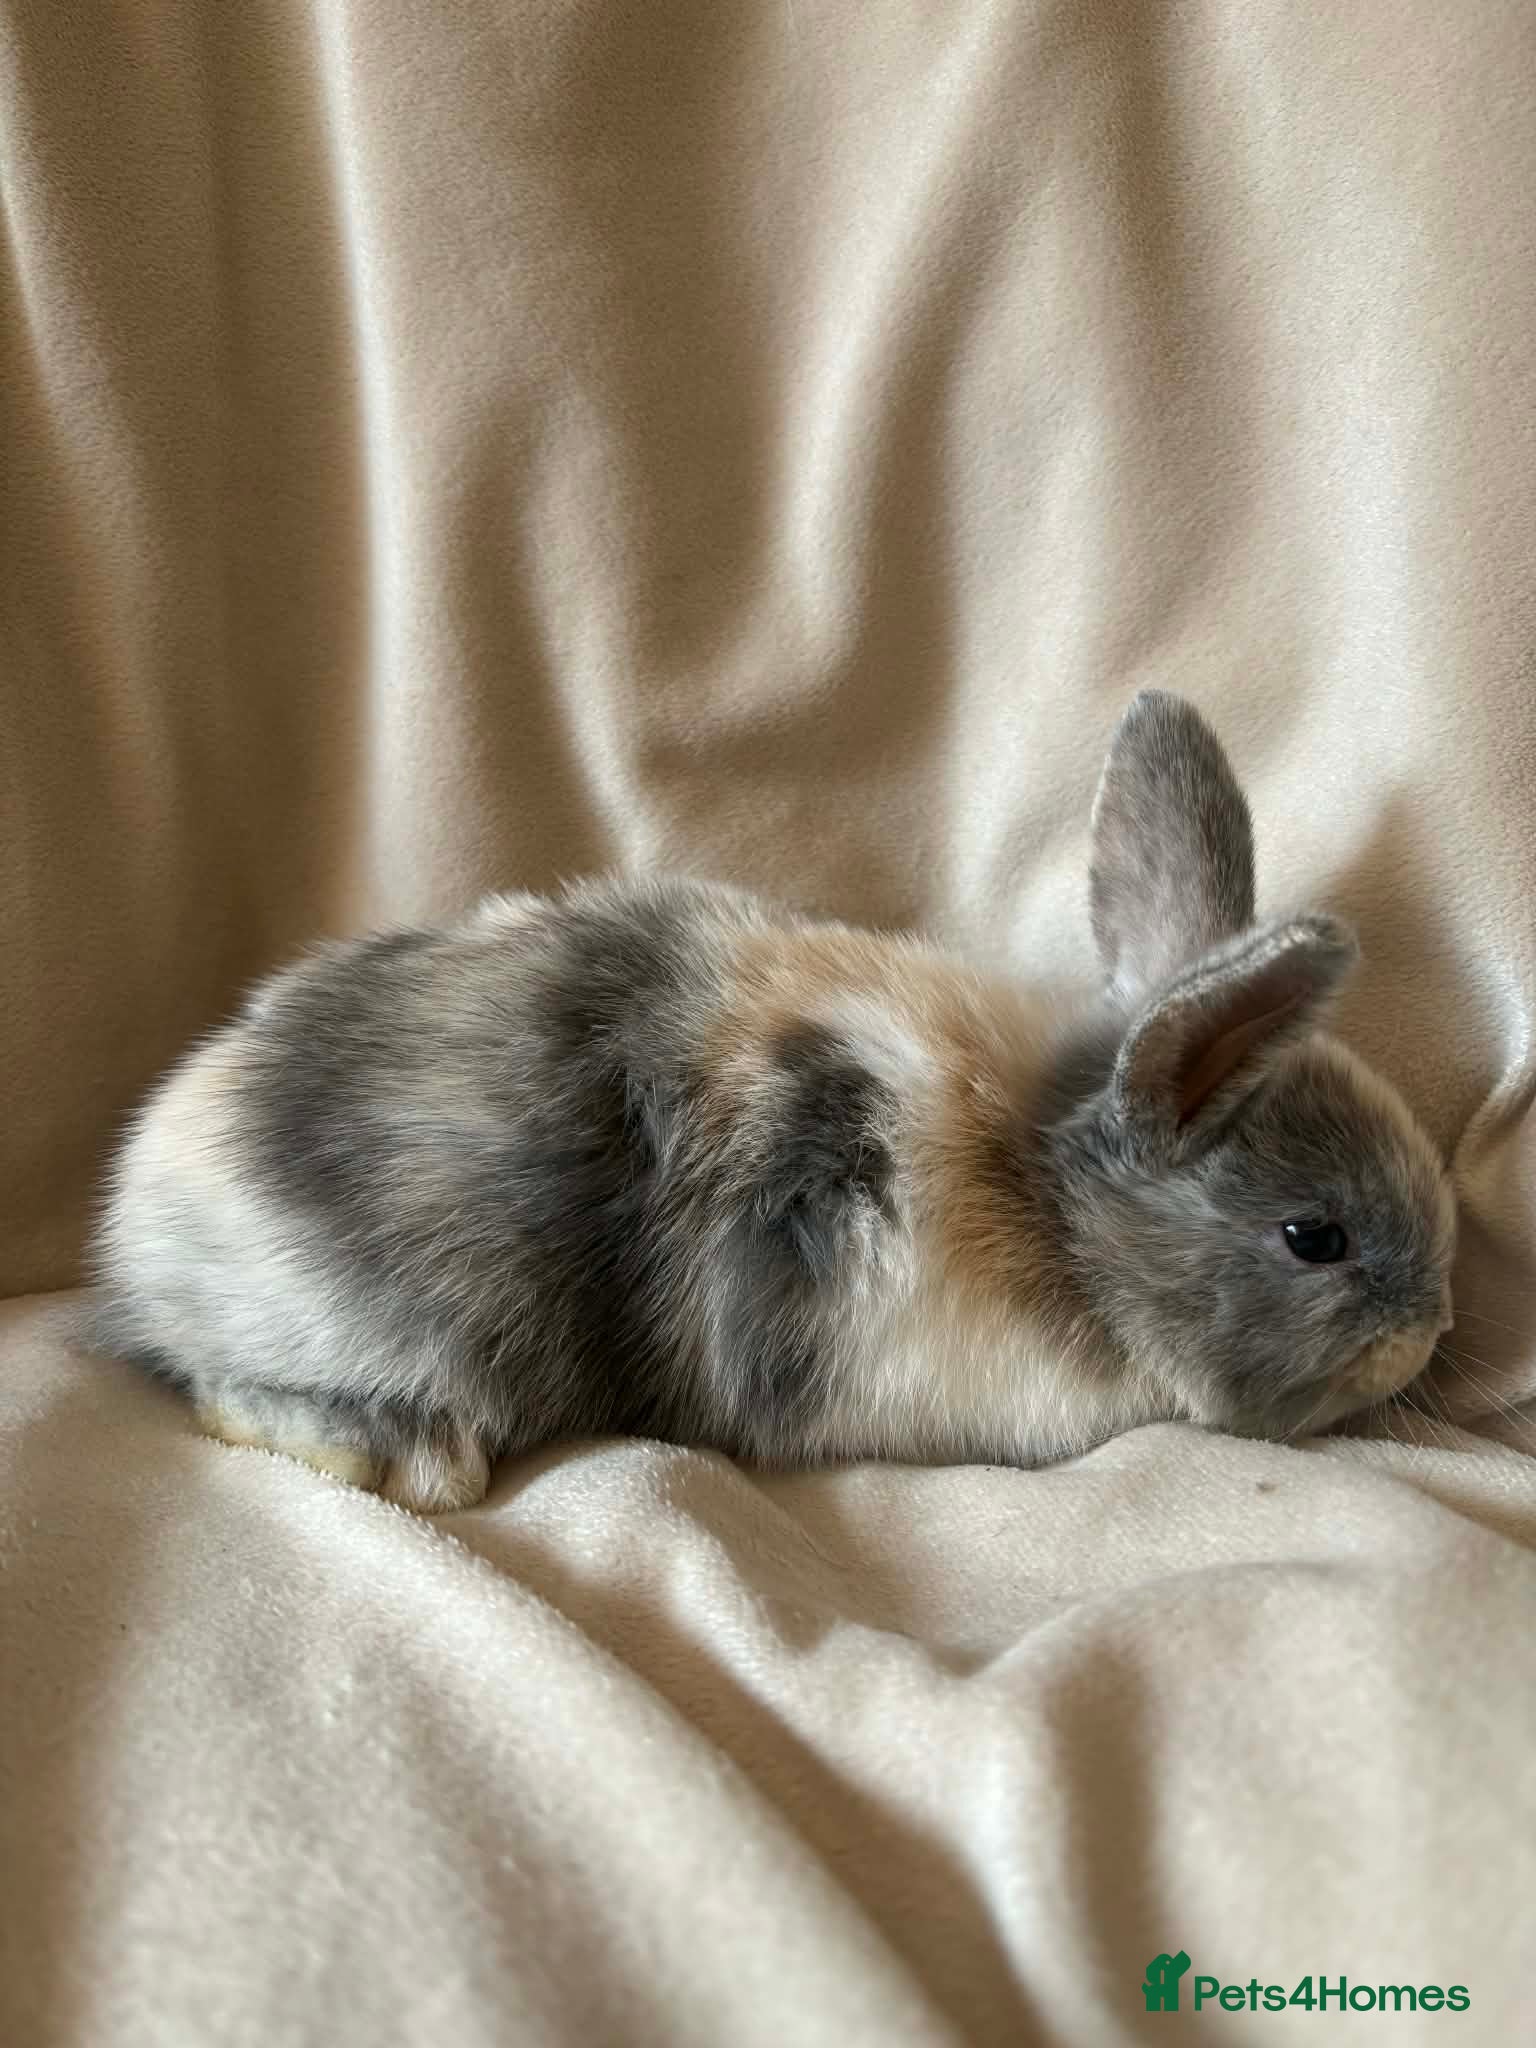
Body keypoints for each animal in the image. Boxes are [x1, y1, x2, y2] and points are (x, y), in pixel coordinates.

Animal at [93, 691, 1456, 1513]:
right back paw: (399, 1452)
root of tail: (141, 1215)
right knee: (218, 1383)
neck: (1051, 1199)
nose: (1436, 1325)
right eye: (1315, 1236)